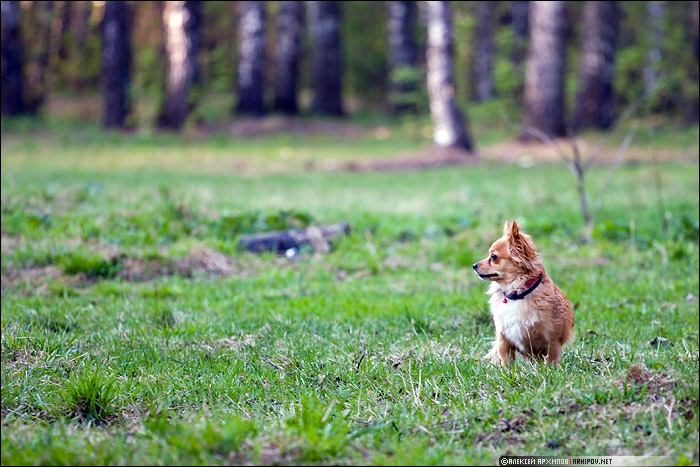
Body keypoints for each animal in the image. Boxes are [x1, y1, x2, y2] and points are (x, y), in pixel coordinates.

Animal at [476, 221, 576, 368]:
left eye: (493, 257)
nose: (474, 265)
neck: (516, 295)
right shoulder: (504, 340)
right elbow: (507, 362)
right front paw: (507, 372)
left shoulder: (552, 340)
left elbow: (551, 360)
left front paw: (551, 370)